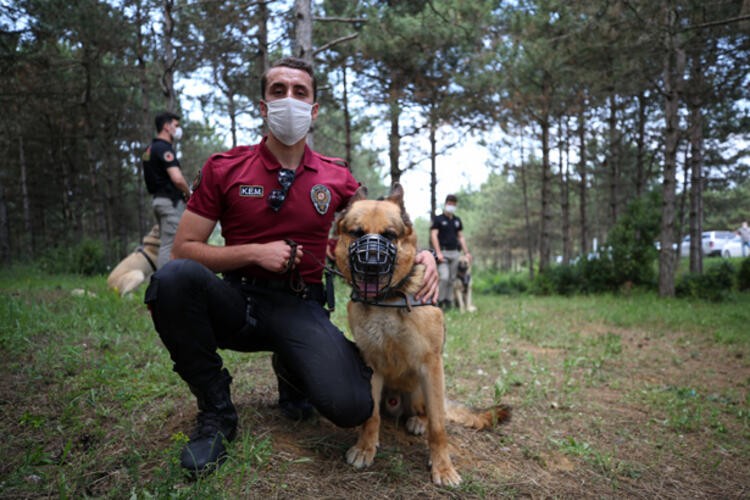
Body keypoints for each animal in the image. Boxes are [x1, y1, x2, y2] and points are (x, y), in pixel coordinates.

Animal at [338, 183, 516, 484]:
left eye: (389, 235)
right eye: (357, 233)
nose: (371, 265)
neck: (389, 298)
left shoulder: (430, 365)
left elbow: (438, 426)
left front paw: (442, 467)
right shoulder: (372, 366)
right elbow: (371, 417)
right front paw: (365, 447)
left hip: (425, 386)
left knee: (428, 412)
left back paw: (417, 421)